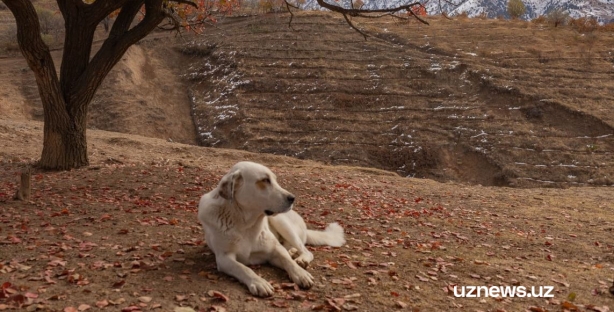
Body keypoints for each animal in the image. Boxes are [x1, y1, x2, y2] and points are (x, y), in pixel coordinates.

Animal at [201, 162, 348, 296]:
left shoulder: (274, 250)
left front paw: (301, 274)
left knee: (305, 250)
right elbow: (243, 268)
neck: (246, 224)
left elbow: (288, 261)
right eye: (265, 180)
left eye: (275, 180)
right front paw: (259, 282)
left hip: (280, 221)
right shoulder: (224, 258)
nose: (292, 198)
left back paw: (301, 258)